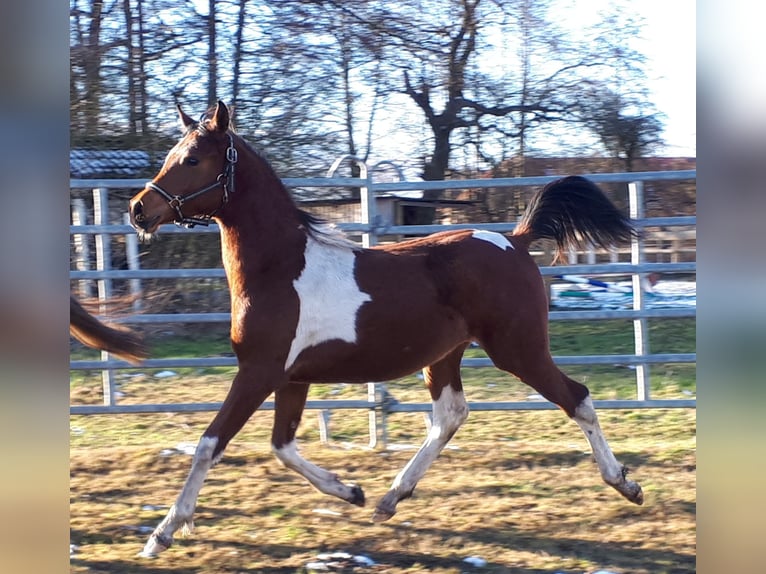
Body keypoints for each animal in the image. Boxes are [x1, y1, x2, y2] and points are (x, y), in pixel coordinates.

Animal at [129, 102, 644, 560]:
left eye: (192, 159)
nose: (138, 210)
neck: (281, 268)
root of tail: (514, 242)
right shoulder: (292, 378)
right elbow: (282, 446)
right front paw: (351, 491)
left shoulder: (258, 372)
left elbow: (209, 445)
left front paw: (162, 534)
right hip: (446, 356)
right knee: (451, 415)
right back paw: (390, 498)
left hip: (518, 350)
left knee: (576, 397)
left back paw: (625, 483)